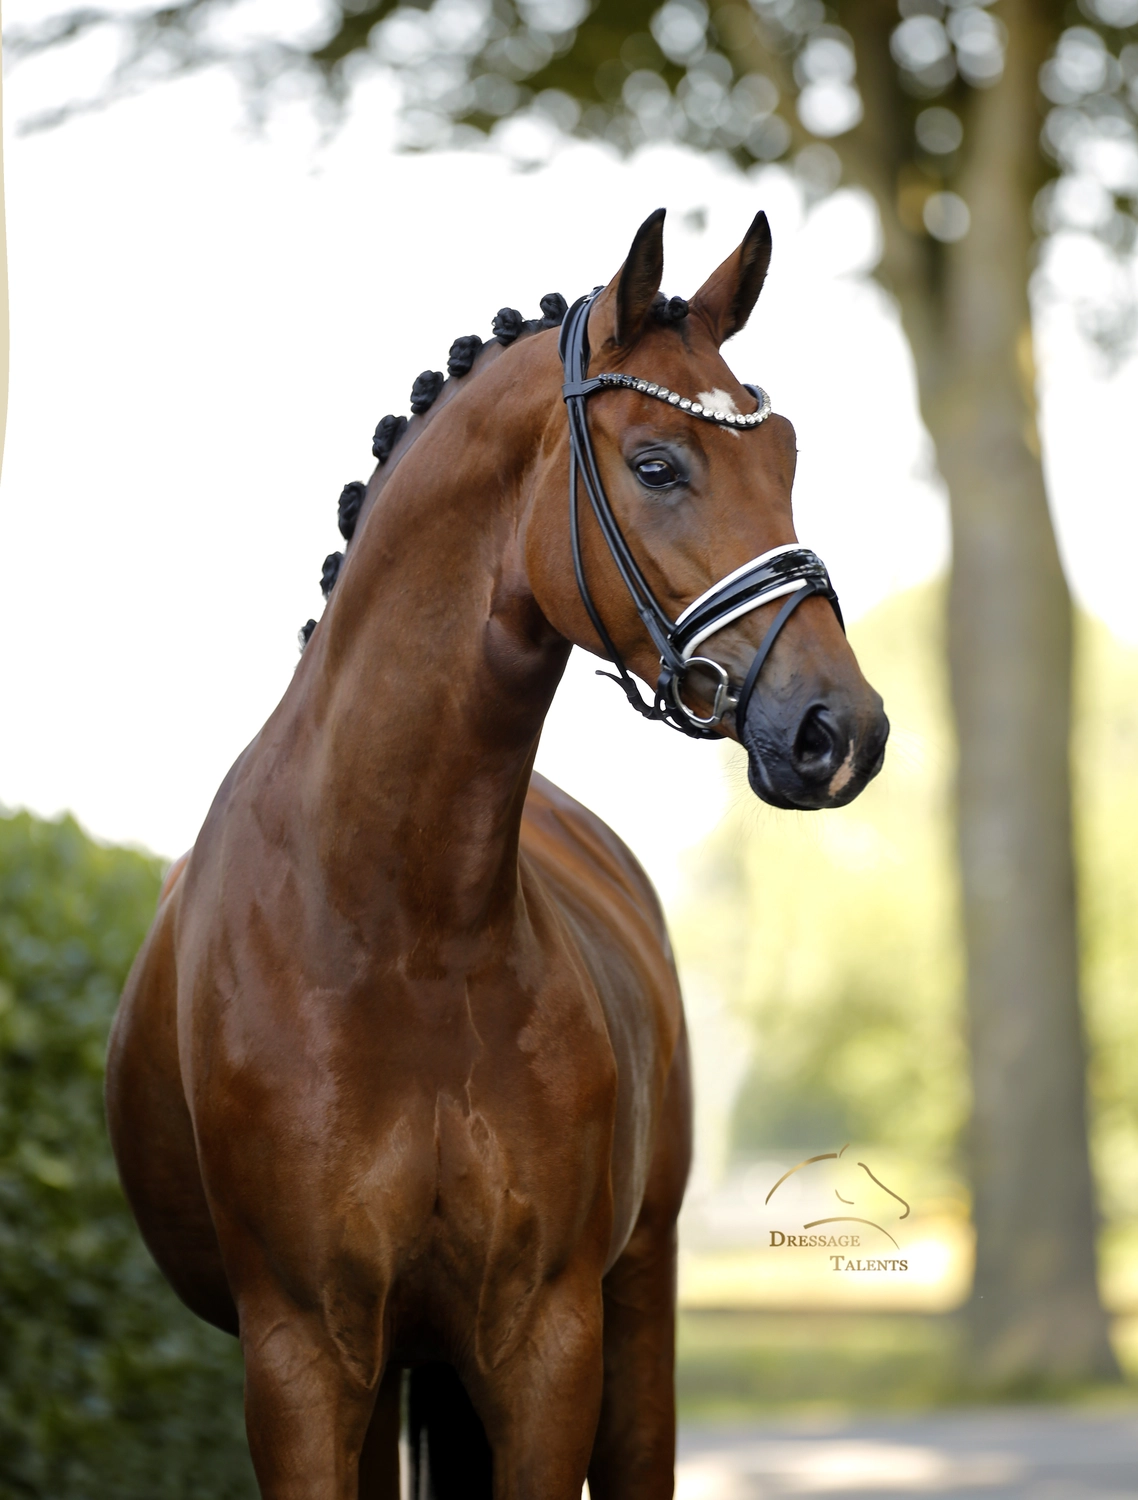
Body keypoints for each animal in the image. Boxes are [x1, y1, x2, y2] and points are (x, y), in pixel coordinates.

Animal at [106, 208, 888, 1500]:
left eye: (782, 454)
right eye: (657, 465)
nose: (842, 731)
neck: (399, 930)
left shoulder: (544, 1341)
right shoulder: (303, 1357)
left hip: (634, 1309)